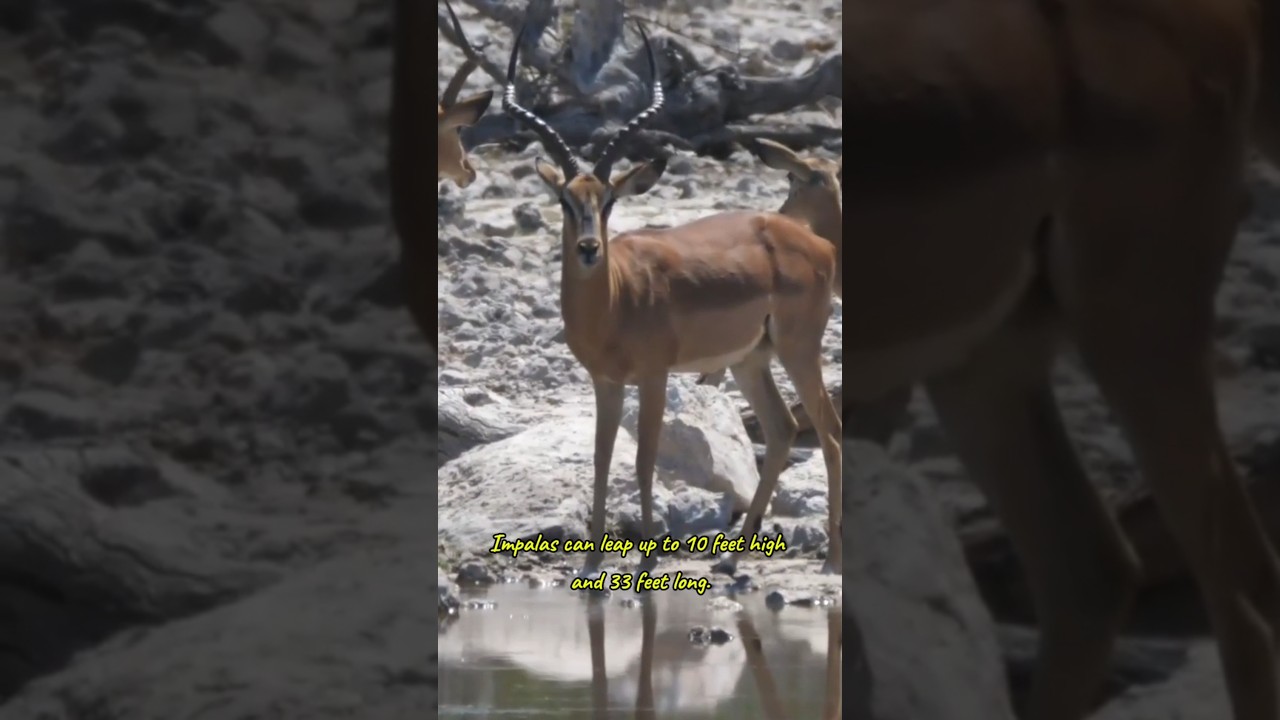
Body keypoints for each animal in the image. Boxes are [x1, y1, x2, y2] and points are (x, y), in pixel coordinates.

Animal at [501, 15, 842, 578]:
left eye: (609, 200)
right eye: (565, 199)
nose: (589, 248)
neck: (615, 301)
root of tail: (817, 242)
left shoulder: (654, 376)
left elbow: (644, 460)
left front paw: (647, 557)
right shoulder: (605, 381)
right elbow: (602, 457)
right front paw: (592, 559)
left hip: (799, 350)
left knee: (828, 429)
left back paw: (833, 556)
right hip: (751, 360)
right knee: (782, 430)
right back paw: (738, 552)